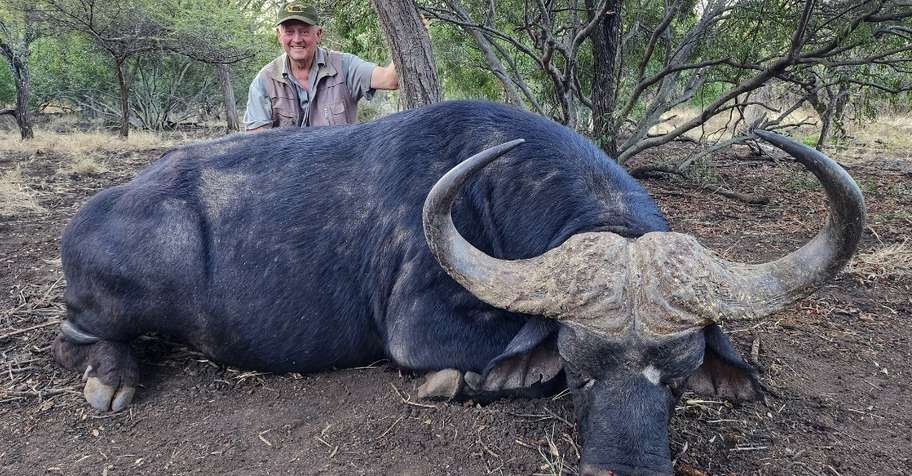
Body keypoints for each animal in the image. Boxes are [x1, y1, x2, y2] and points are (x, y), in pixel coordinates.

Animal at [52, 100, 864, 475]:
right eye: (579, 371)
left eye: (680, 373)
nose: (622, 465)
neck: (498, 190)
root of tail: (99, 209)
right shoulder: (417, 328)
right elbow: (505, 368)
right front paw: (455, 382)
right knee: (79, 335)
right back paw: (110, 381)